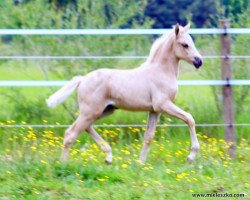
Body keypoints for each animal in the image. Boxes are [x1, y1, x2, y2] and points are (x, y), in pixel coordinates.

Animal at [47, 23, 203, 164]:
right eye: (184, 45)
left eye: (192, 42)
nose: (199, 61)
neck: (160, 72)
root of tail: (82, 79)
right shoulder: (163, 104)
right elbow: (189, 118)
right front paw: (191, 156)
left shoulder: (154, 110)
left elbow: (148, 136)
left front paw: (141, 163)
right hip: (91, 111)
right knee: (71, 134)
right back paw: (63, 164)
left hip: (104, 110)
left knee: (85, 127)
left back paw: (108, 156)